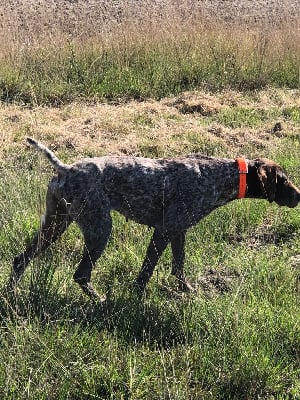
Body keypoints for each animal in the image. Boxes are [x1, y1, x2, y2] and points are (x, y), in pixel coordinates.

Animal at [10, 138, 298, 300]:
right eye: (283, 180)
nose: (299, 196)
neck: (218, 175)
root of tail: (66, 169)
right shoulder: (165, 230)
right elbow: (146, 272)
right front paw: (137, 298)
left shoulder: (179, 232)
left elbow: (178, 268)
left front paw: (187, 291)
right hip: (99, 229)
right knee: (81, 275)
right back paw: (100, 301)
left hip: (55, 224)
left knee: (19, 260)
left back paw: (11, 295)